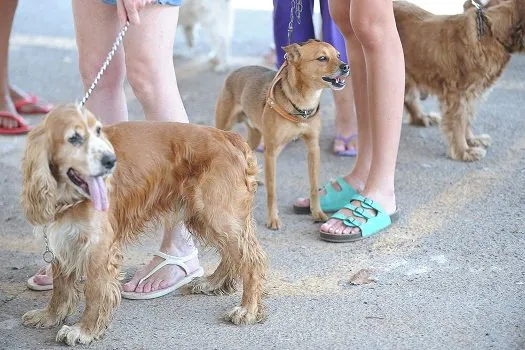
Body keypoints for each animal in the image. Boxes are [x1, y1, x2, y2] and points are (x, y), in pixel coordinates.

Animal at [19, 104, 266, 344]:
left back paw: (248, 309)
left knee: (252, 260)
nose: (111, 161)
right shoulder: (63, 239)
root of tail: (229, 136)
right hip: (206, 216)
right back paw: (213, 283)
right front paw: (49, 315)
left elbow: (95, 291)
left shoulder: (98, 247)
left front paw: (84, 330)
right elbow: (60, 287)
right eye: (74, 138)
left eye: (98, 131)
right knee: (232, 255)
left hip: (217, 214)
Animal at [213, 39, 348, 230]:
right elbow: (272, 190)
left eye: (338, 55)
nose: (346, 66)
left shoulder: (313, 148)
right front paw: (273, 219)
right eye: (322, 58)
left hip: (255, 135)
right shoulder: (271, 152)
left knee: (248, 151)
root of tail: (235, 72)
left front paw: (317, 212)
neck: (303, 104)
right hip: (225, 127)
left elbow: (314, 186)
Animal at [392, 0, 524, 161]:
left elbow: (467, 119)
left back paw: (421, 117)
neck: (488, 33)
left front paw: (472, 140)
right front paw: (464, 151)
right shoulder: (457, 94)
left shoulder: (469, 94)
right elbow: (458, 123)